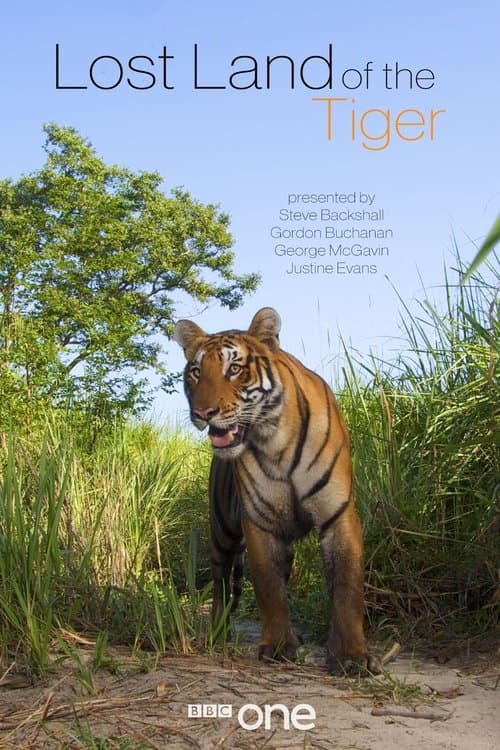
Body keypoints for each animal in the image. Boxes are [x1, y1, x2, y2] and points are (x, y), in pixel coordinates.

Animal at [174, 307, 380, 674]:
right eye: (196, 372)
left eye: (234, 369)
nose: (202, 413)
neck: (274, 440)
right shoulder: (259, 521)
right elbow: (268, 587)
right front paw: (279, 646)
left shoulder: (338, 515)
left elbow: (347, 585)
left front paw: (350, 655)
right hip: (222, 528)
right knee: (222, 582)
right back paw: (218, 633)